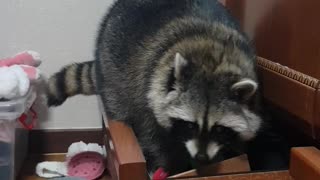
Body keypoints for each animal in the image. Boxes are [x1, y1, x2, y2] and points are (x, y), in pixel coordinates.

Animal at [47, 0, 262, 175]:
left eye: (219, 129)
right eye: (190, 125)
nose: (201, 157)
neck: (212, 59)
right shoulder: (146, 94)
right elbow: (153, 138)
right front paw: (168, 166)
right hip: (111, 68)